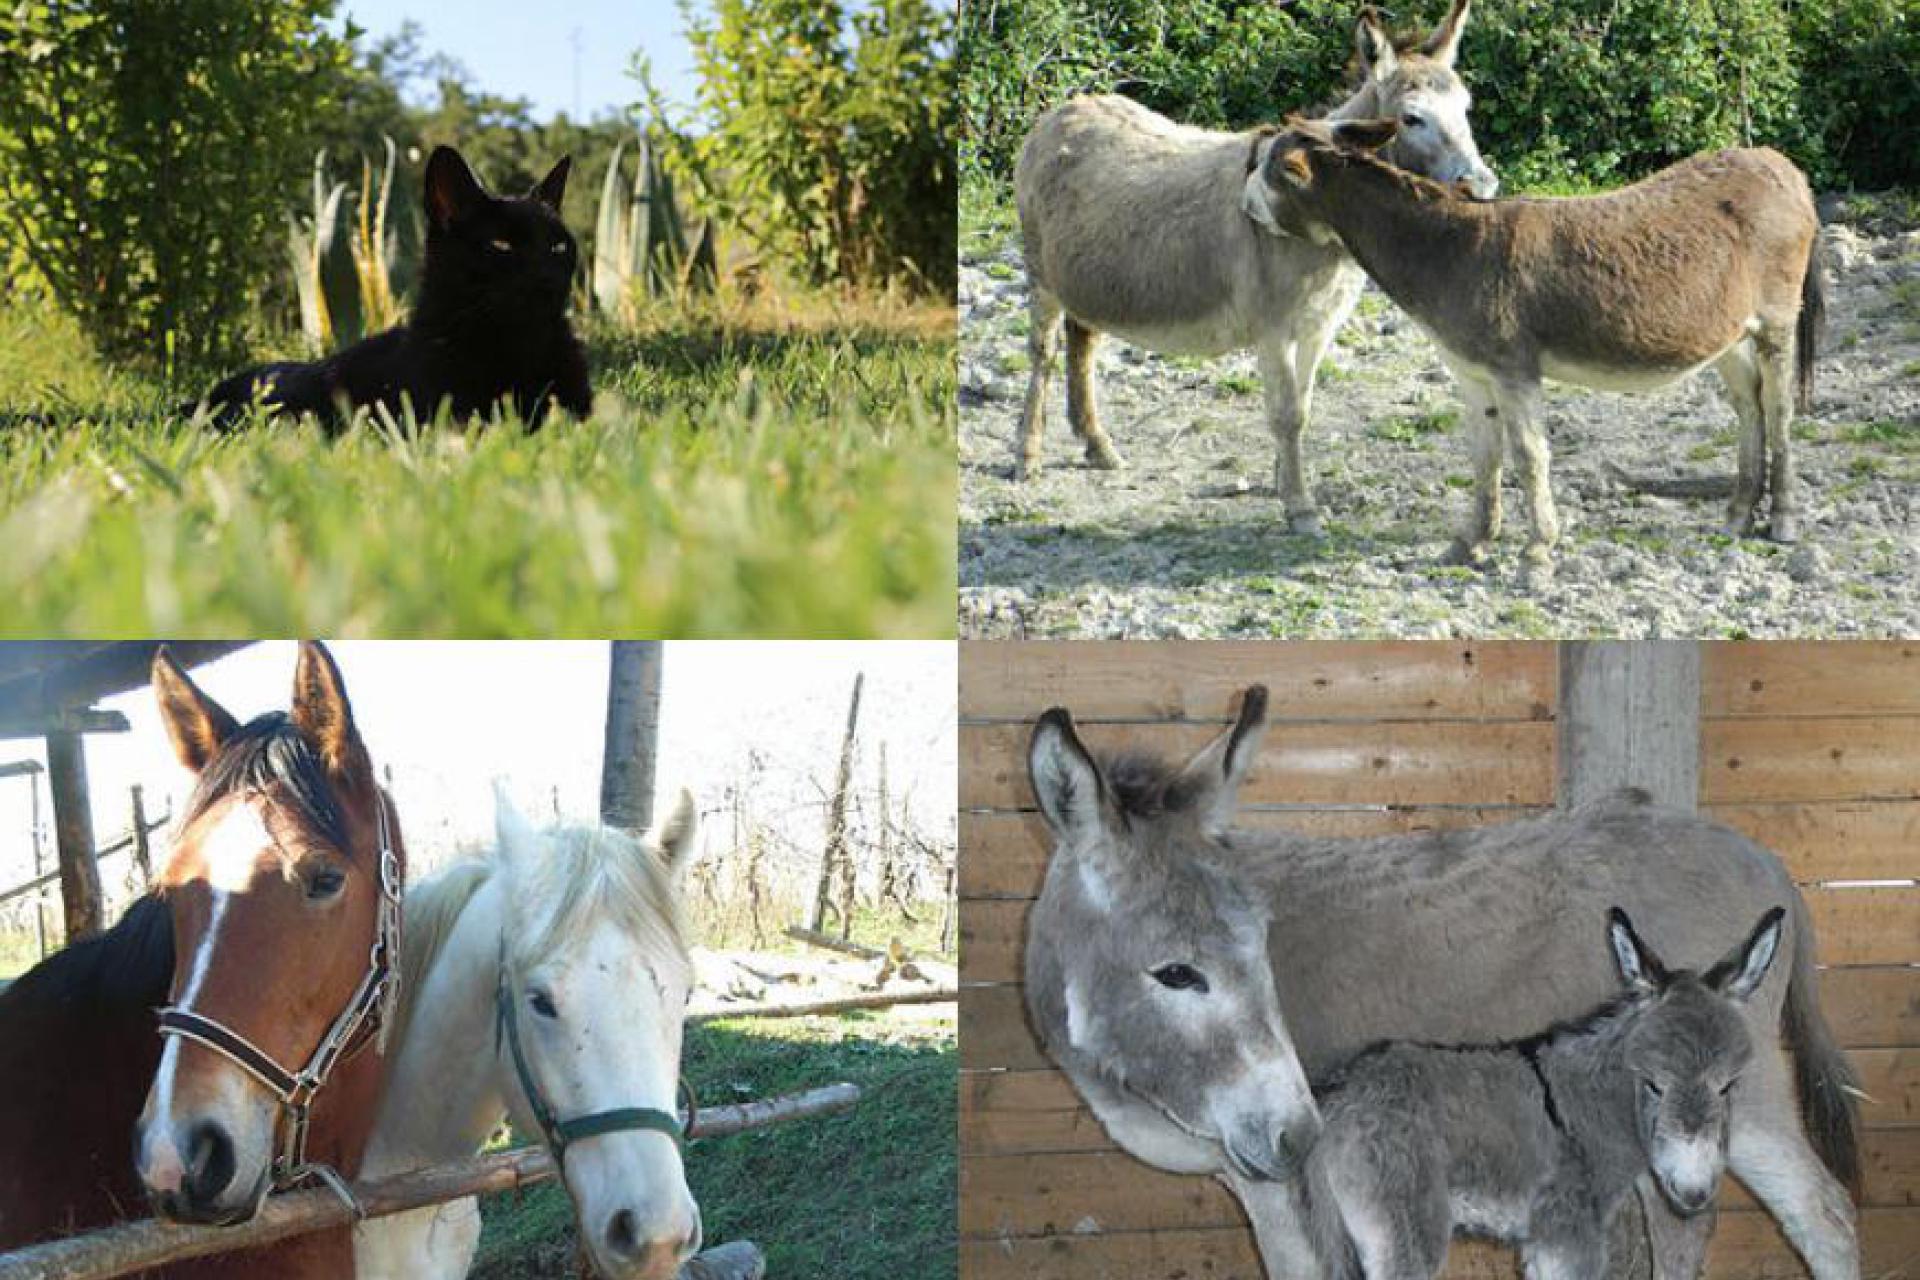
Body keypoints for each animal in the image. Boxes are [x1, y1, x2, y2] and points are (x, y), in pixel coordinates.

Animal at [1305, 905, 1781, 1274]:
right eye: (1653, 1084)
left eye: (1727, 1086)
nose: (1694, 1193)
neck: (1591, 1107)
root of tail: (1338, 1096)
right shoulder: (1569, 1232)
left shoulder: (1540, 1240)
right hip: (1405, 1230)